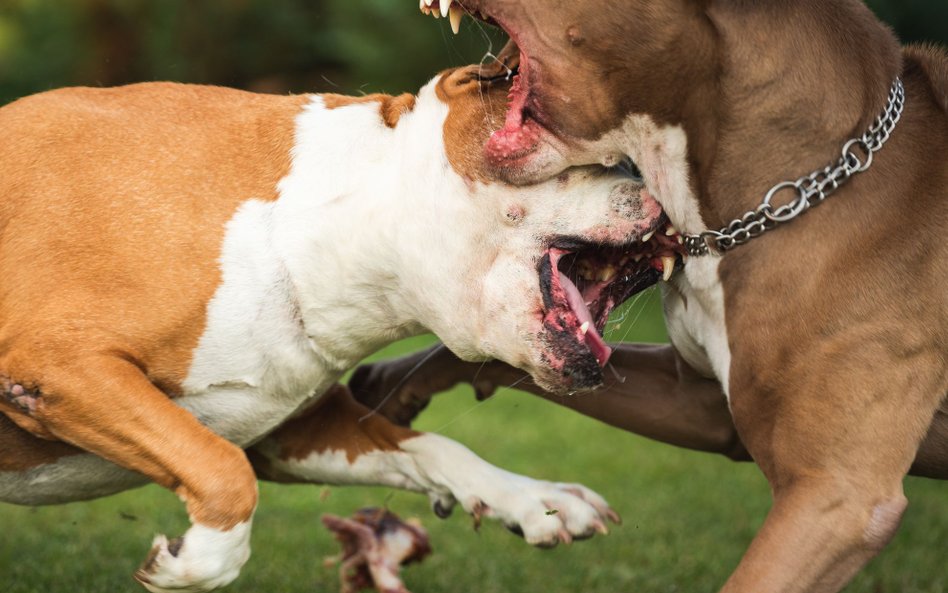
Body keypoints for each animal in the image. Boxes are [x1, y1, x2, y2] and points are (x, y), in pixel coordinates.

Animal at [0, 63, 680, 588]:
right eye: (610, 162)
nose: (665, 202)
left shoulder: (289, 428)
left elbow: (430, 446)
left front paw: (533, 498)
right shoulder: (62, 365)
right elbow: (225, 473)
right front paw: (196, 563)